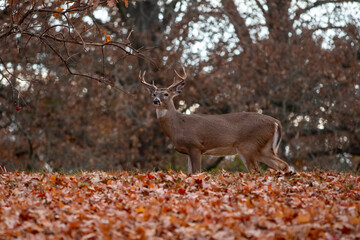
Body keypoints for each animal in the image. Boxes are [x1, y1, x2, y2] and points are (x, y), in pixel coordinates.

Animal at [140, 66, 290, 173]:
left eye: (166, 94)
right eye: (154, 93)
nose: (156, 101)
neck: (178, 126)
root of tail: (277, 123)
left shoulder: (195, 145)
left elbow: (197, 172)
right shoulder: (188, 151)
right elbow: (189, 173)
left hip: (249, 145)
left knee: (257, 170)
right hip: (264, 148)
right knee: (282, 165)